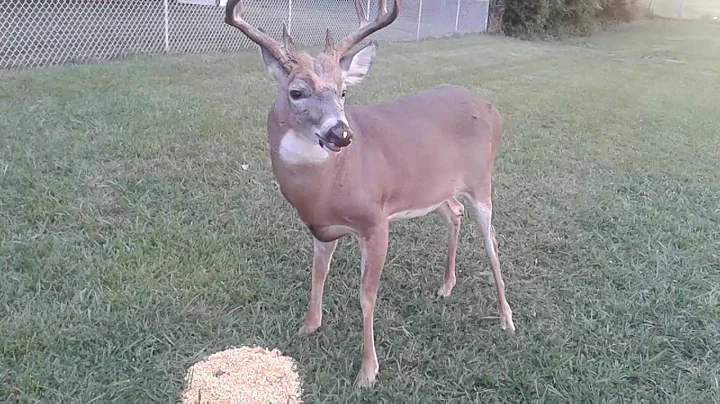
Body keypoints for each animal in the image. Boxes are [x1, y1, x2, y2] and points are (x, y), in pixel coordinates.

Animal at [224, 0, 512, 386]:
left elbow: (366, 296)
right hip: (434, 189)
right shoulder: (320, 228)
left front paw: (368, 371)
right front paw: (308, 327)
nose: (341, 134)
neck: (328, 186)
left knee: (492, 241)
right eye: (296, 92)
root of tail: (491, 107)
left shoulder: (376, 221)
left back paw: (506, 319)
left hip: (482, 180)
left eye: (343, 91)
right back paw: (446, 287)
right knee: (455, 212)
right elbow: (317, 275)